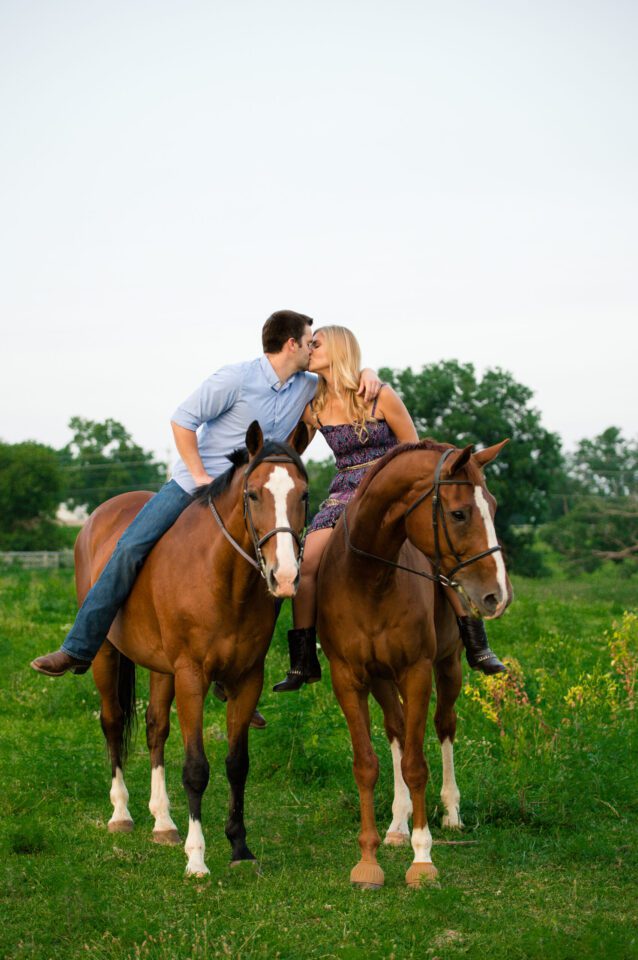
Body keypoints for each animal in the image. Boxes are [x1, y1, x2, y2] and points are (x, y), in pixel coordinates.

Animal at [77, 421, 309, 876]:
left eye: (304, 494)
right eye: (253, 494)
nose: (285, 576)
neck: (222, 577)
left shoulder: (246, 679)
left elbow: (237, 765)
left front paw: (239, 846)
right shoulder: (191, 676)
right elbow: (197, 768)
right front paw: (197, 857)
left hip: (160, 668)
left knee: (155, 729)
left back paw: (164, 822)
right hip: (107, 655)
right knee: (112, 722)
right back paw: (121, 814)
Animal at [317, 438, 511, 888]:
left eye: (493, 508)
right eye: (458, 513)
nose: (498, 595)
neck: (369, 578)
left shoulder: (418, 672)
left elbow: (416, 764)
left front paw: (422, 859)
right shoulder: (348, 678)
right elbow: (367, 764)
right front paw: (368, 859)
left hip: (448, 668)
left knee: (443, 725)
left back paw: (451, 813)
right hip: (382, 680)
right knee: (397, 728)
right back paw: (396, 826)